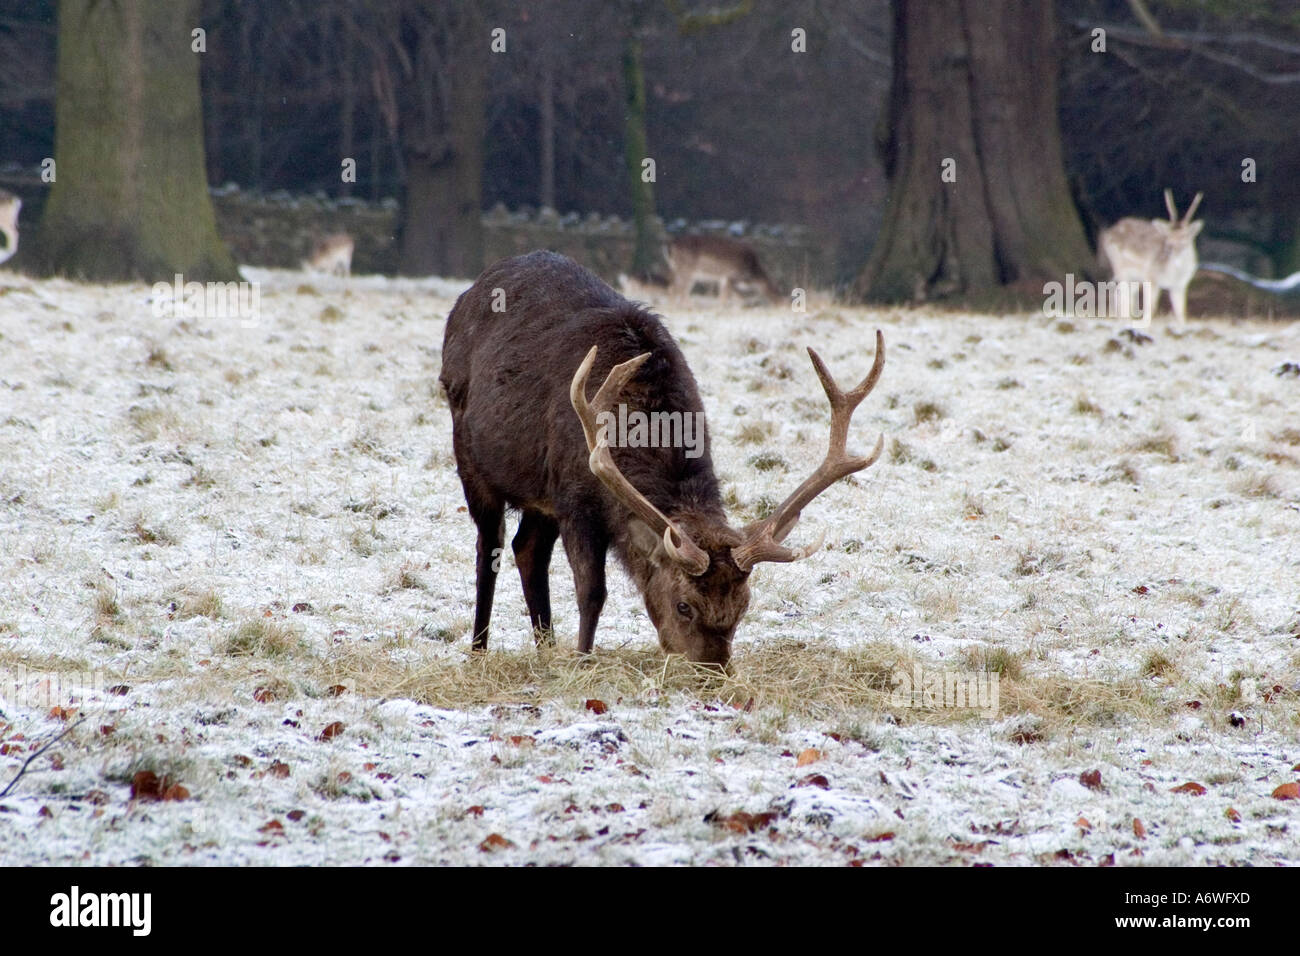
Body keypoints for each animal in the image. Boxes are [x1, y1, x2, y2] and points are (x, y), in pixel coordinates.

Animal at [439, 251, 883, 667]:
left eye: (743, 606)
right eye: (683, 605)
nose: (713, 671)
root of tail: (467, 294)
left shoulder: (558, 496)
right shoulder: (574, 498)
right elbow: (592, 592)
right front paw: (582, 661)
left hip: (538, 493)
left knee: (526, 548)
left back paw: (545, 648)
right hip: (470, 453)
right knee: (490, 547)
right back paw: (478, 650)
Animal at [1097, 189, 1203, 325]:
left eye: (1184, 235)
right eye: (1168, 235)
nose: (1170, 246)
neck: (1173, 273)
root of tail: (1108, 232)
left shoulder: (1180, 285)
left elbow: (1181, 312)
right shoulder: (1151, 277)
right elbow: (1151, 306)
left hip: (1135, 277)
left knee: (1120, 292)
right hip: (1119, 266)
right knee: (1123, 292)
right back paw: (1125, 320)